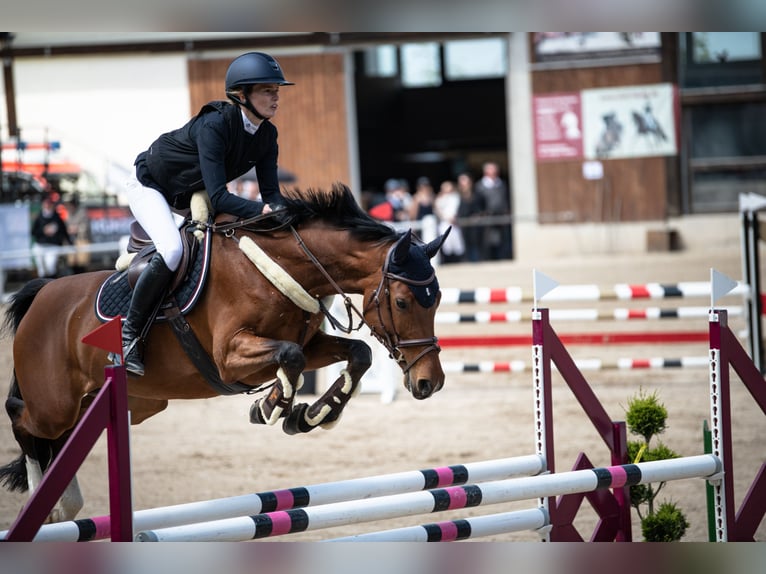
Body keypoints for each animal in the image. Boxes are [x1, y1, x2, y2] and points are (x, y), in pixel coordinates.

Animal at [0, 183, 449, 524]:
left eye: (438, 299)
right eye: (404, 302)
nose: (430, 381)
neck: (281, 265)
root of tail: (41, 293)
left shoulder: (312, 343)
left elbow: (356, 354)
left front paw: (312, 415)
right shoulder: (231, 356)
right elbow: (291, 358)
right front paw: (270, 407)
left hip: (118, 403)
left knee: (57, 440)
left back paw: (62, 503)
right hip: (55, 404)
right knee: (21, 418)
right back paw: (48, 499)